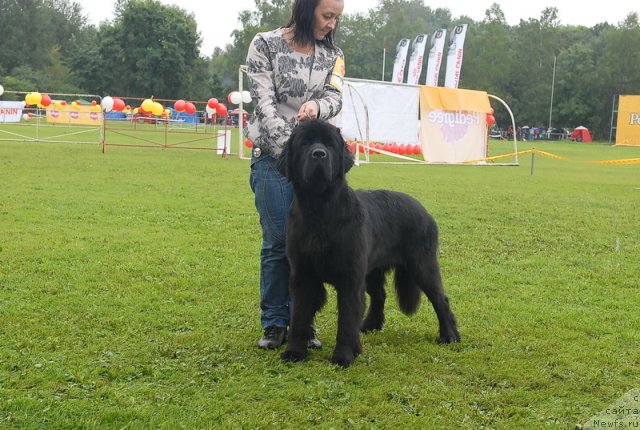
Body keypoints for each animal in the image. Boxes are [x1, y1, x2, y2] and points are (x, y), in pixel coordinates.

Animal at [278, 119, 458, 368]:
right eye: (304, 143)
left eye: (329, 144)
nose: (319, 154)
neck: (320, 209)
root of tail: (423, 209)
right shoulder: (302, 274)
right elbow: (299, 317)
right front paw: (295, 352)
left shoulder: (350, 278)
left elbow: (346, 320)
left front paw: (343, 356)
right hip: (373, 269)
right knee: (379, 295)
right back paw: (370, 325)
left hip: (422, 265)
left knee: (441, 298)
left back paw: (449, 335)